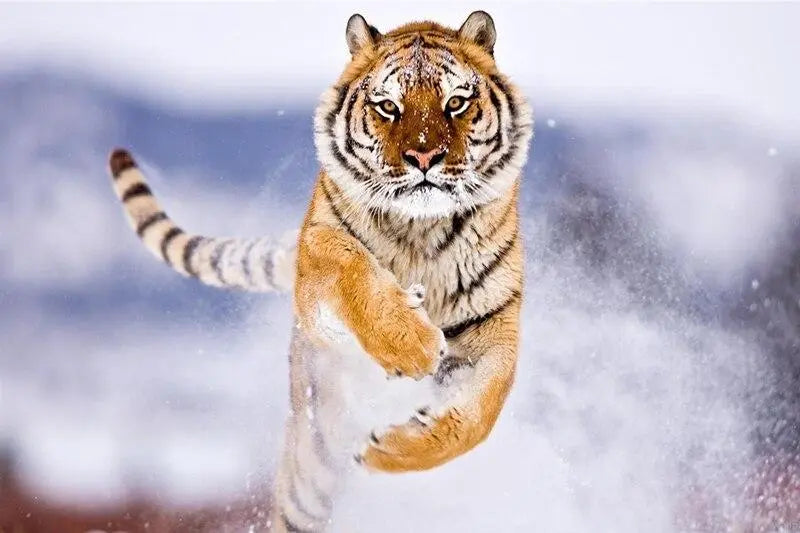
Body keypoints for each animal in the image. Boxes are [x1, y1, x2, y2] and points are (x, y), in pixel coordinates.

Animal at [108, 10, 532, 532]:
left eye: (456, 102)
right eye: (388, 106)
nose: (423, 157)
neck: (421, 230)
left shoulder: (494, 327)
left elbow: (478, 415)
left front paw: (387, 450)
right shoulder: (317, 261)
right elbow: (349, 263)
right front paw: (412, 344)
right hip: (311, 466)